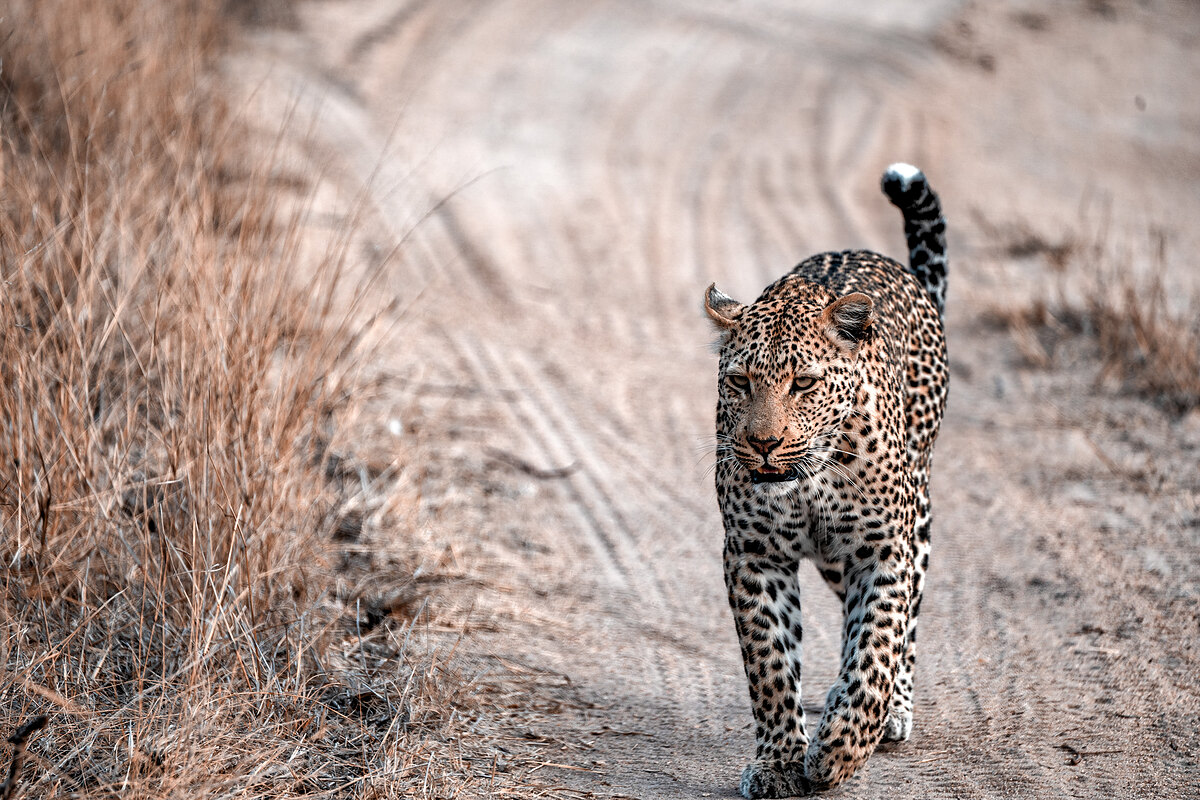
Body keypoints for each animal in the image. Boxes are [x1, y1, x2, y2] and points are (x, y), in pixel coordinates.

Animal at [704, 163, 949, 797]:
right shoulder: (754, 554)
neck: (810, 478)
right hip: (837, 562)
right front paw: (777, 762)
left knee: (906, 623)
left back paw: (892, 711)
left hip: (917, 518)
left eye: (804, 383)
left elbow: (878, 647)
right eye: (739, 381)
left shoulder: (883, 550)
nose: (763, 444)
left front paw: (840, 749)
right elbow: (769, 665)